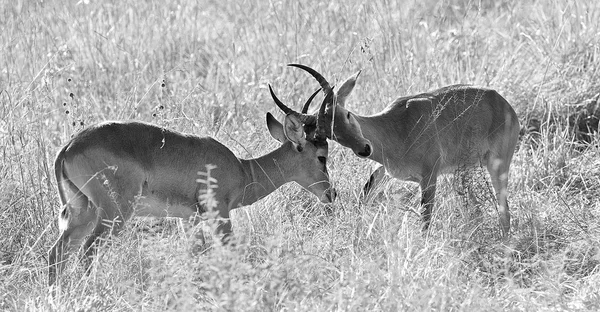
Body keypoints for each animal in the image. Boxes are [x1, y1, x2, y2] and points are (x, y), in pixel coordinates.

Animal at [49, 84, 336, 286]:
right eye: (321, 156)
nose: (331, 193)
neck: (244, 170)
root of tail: (68, 148)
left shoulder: (189, 220)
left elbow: (195, 256)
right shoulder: (219, 213)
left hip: (83, 212)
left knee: (58, 252)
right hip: (113, 214)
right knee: (87, 252)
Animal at [290, 65, 520, 236]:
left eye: (346, 114)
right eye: (331, 133)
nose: (364, 149)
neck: (397, 128)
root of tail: (503, 103)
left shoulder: (429, 177)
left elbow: (425, 219)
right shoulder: (384, 170)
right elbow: (364, 197)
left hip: (497, 166)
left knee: (504, 211)